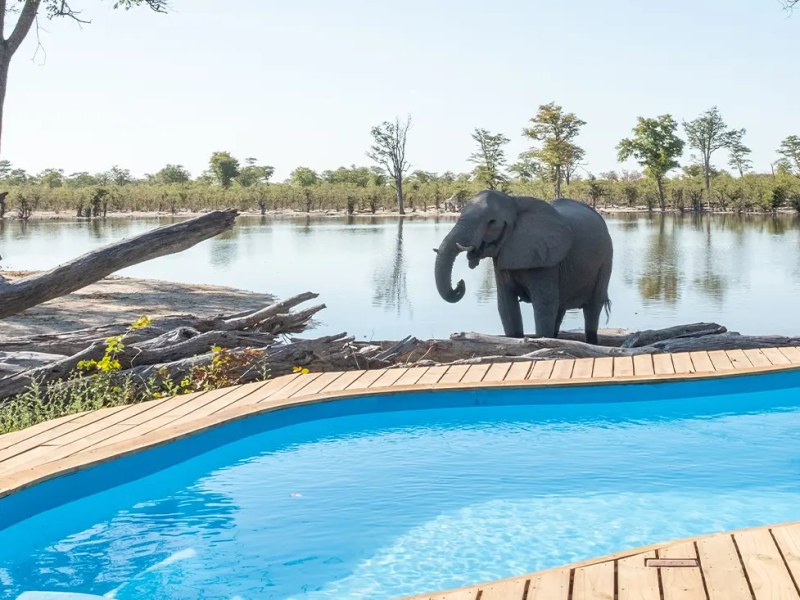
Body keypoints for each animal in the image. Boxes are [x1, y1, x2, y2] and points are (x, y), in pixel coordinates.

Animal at [434, 190, 613, 344]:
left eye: (492, 222)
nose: (460, 284)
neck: (515, 203)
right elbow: (506, 305)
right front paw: (516, 341)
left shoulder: (546, 259)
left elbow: (544, 305)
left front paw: (542, 341)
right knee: (560, 309)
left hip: (606, 260)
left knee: (592, 308)